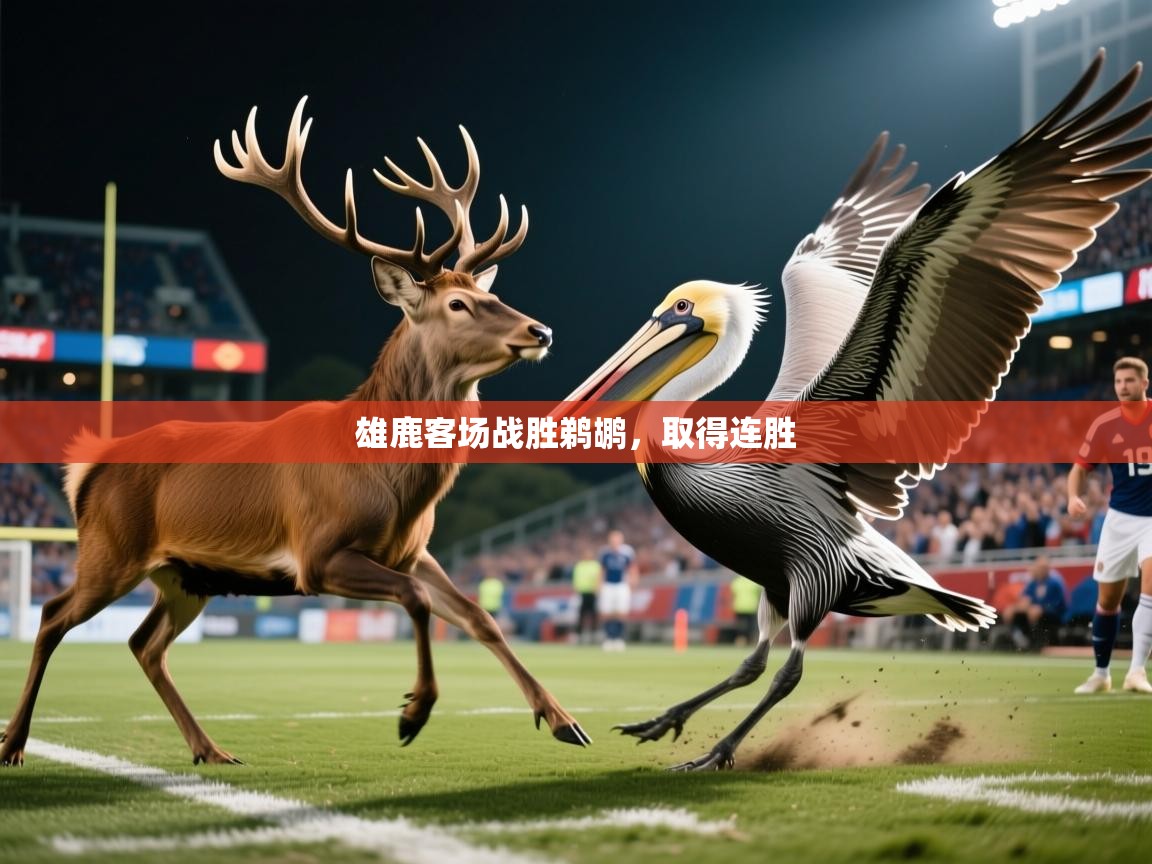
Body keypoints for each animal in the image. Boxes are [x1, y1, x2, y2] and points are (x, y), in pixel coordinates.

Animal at [0, 98, 590, 766]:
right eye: (457, 305)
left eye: (489, 293)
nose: (540, 331)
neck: (396, 487)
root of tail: (86, 470)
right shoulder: (319, 553)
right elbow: (415, 603)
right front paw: (414, 712)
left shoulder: (413, 551)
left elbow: (477, 616)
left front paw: (564, 719)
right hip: (110, 549)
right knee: (52, 615)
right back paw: (14, 742)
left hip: (186, 575)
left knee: (143, 643)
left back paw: (210, 748)